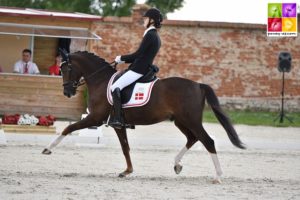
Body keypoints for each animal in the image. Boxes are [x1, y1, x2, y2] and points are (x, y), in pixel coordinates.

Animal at [41, 50, 244, 183]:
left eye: (66, 69)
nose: (67, 92)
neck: (101, 81)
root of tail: (198, 85)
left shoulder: (95, 118)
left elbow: (68, 128)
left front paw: (47, 149)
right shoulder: (118, 125)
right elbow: (125, 148)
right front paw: (127, 171)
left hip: (191, 120)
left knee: (207, 141)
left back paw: (218, 176)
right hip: (181, 121)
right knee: (192, 138)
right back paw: (177, 165)